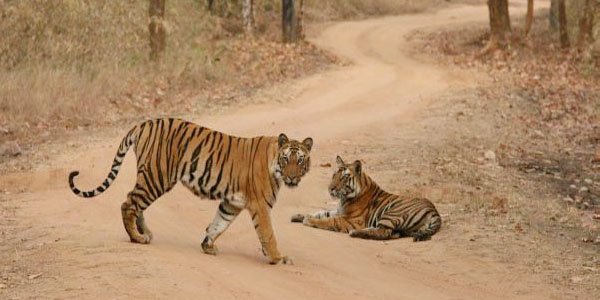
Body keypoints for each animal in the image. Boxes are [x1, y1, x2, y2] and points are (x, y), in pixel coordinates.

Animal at [69, 118, 314, 264]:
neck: (275, 165)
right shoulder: (260, 205)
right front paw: (278, 257)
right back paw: (137, 238)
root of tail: (144, 123)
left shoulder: (231, 203)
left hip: (151, 178)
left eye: (300, 160)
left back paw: (145, 233)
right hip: (157, 177)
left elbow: (218, 224)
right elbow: (268, 233)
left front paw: (208, 246)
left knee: (136, 205)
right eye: (286, 159)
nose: (293, 177)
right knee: (128, 203)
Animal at [290, 156, 440, 240]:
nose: (330, 188)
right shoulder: (339, 211)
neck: (344, 198)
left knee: (384, 232)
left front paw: (308, 220)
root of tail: (435, 211)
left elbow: (329, 220)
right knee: (392, 233)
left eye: (343, 178)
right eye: (334, 175)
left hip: (391, 213)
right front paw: (299, 215)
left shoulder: (351, 220)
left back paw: (355, 233)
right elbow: (321, 212)